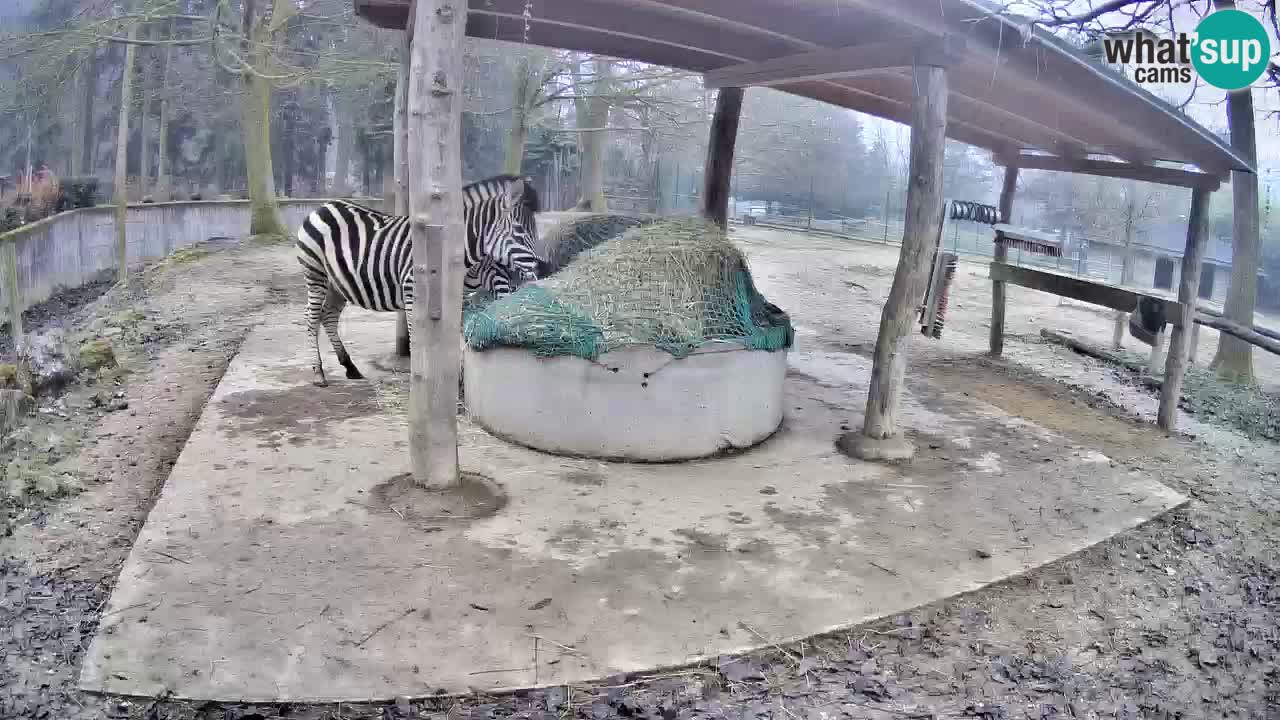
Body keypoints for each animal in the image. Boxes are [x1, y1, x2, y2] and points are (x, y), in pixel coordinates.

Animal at [295, 174, 543, 387]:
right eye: (519, 231)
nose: (540, 271)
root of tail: (323, 206)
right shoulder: (412, 292)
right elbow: (418, 338)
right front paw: (421, 379)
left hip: (338, 284)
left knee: (328, 316)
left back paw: (350, 367)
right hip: (315, 273)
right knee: (311, 317)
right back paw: (318, 373)